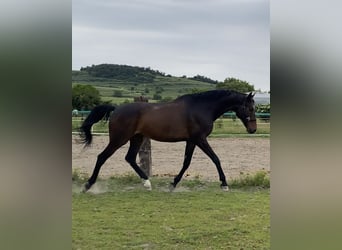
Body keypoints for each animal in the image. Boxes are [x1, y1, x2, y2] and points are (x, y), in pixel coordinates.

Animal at [79, 90, 256, 191]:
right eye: (249, 108)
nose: (253, 129)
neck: (202, 108)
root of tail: (116, 109)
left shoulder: (192, 141)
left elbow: (186, 162)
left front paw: (173, 184)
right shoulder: (200, 139)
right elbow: (215, 159)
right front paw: (224, 184)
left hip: (136, 138)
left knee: (130, 158)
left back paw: (147, 183)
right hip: (119, 139)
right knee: (102, 157)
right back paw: (87, 185)